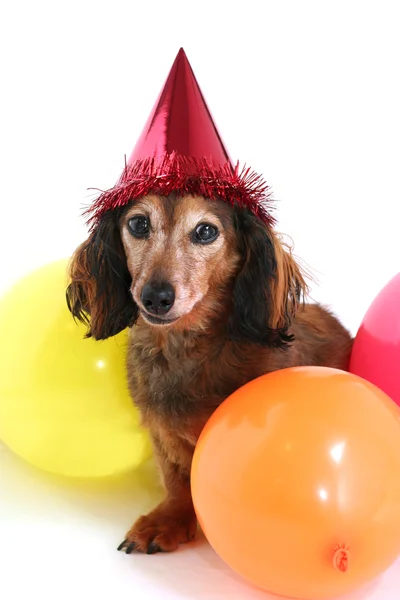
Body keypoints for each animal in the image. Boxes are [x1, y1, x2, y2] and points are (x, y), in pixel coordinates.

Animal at [66, 192, 354, 552]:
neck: (187, 349)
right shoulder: (162, 432)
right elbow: (176, 480)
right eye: (138, 223)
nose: (156, 298)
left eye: (206, 231)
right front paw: (169, 520)